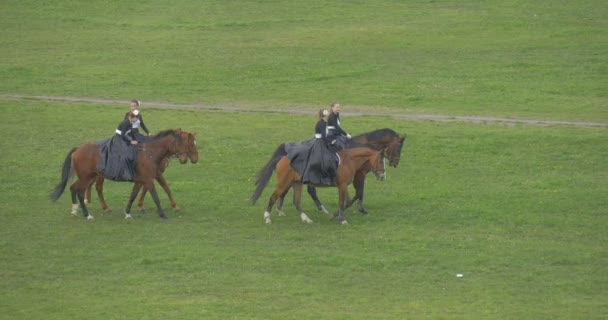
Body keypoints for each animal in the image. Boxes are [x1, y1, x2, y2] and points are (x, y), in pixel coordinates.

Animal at [50, 128, 197, 220]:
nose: (192, 159)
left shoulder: (143, 179)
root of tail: (78, 149)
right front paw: (162, 214)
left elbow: (134, 195)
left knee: (74, 188)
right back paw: (87, 214)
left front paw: (128, 213)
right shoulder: (149, 180)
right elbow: (156, 196)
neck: (150, 152)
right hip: (87, 177)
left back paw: (76, 210)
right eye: (188, 144)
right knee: (81, 191)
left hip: (88, 177)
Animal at [251, 146, 384, 224]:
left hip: (296, 184)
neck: (349, 161)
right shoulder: (342, 186)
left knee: (296, 202)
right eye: (381, 161)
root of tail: (283, 157)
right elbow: (342, 202)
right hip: (284, 183)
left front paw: (335, 215)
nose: (383, 176)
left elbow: (347, 201)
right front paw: (342, 219)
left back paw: (306, 219)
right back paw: (267, 217)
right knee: (274, 197)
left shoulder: (344, 186)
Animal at [270, 129, 404, 216]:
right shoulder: (360, 174)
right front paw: (351, 206)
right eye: (398, 148)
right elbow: (359, 192)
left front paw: (356, 207)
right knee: (306, 190)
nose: (395, 163)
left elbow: (359, 192)